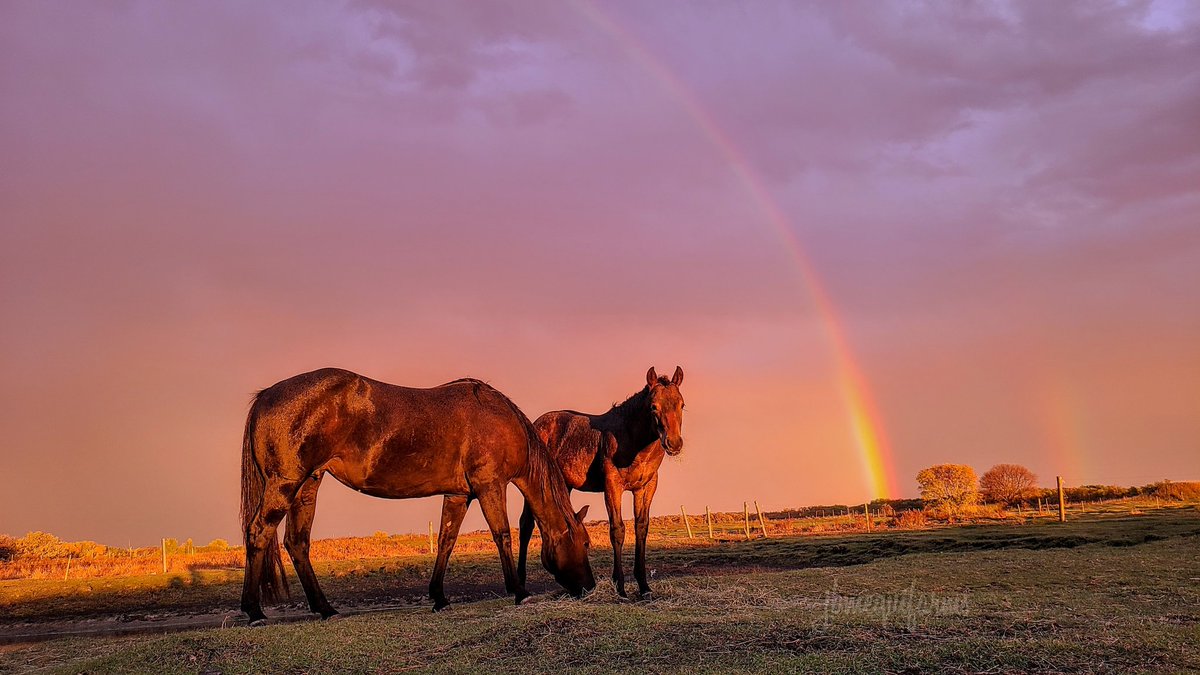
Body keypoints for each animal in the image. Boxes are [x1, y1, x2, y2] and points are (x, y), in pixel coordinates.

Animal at [239, 368, 595, 625]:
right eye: (586, 543)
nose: (589, 587)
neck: (500, 420)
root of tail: (267, 395)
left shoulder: (458, 495)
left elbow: (446, 541)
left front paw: (439, 597)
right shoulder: (490, 486)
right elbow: (502, 535)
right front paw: (520, 591)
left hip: (307, 486)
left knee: (297, 543)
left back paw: (324, 608)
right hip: (284, 484)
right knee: (258, 532)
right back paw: (254, 612)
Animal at [517, 366, 684, 600]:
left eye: (682, 404)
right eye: (654, 406)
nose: (674, 443)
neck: (632, 440)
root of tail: (534, 425)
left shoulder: (646, 487)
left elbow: (641, 528)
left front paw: (644, 587)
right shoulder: (612, 486)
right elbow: (617, 530)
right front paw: (620, 587)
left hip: (563, 485)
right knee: (526, 525)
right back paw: (521, 587)